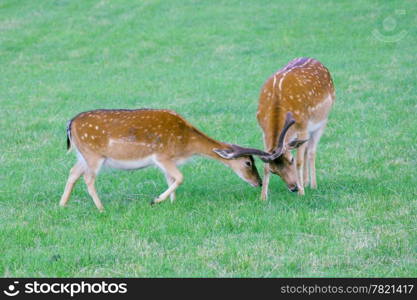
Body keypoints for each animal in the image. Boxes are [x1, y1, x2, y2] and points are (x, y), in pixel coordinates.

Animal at [59, 108, 260, 211]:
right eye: (248, 163)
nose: (258, 182)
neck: (186, 145)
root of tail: (70, 123)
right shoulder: (162, 156)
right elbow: (180, 177)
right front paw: (156, 200)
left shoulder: (168, 161)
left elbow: (171, 179)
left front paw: (172, 203)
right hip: (93, 154)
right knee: (88, 178)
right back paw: (101, 208)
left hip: (83, 155)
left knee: (73, 172)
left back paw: (62, 205)